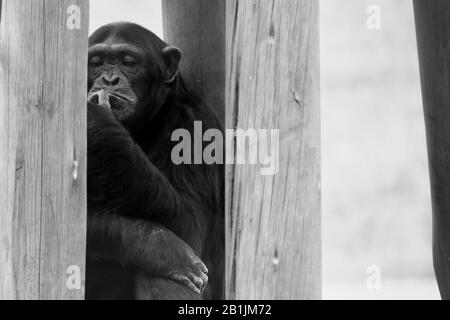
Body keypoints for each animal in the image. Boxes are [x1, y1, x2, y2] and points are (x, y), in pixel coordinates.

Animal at [84, 22, 223, 300]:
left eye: (129, 61)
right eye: (96, 62)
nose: (109, 79)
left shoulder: (195, 125)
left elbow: (190, 220)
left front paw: (94, 115)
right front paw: (162, 246)